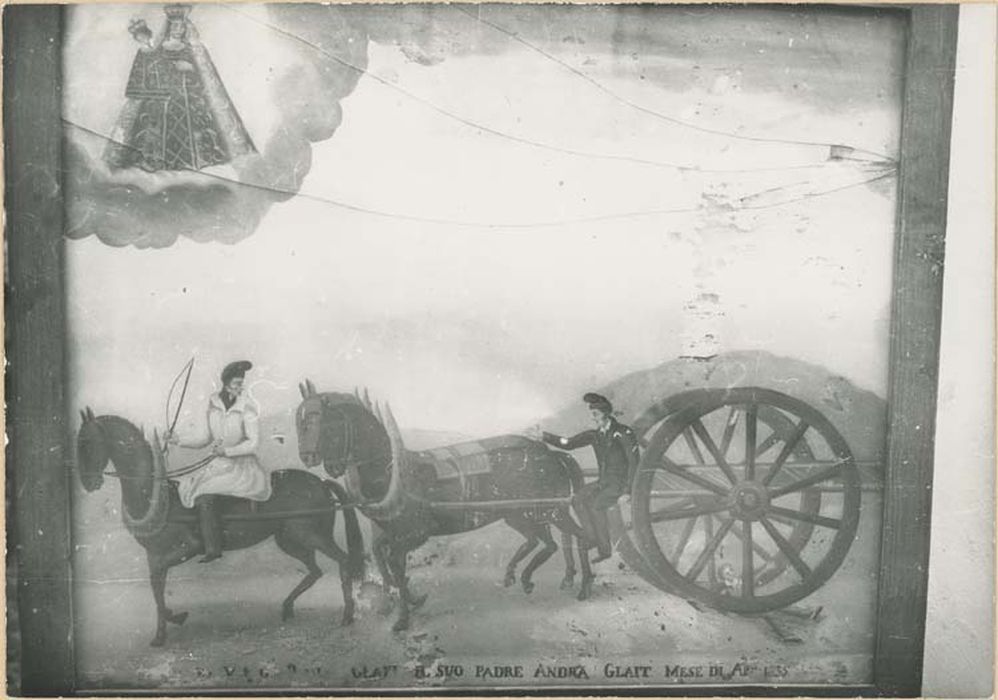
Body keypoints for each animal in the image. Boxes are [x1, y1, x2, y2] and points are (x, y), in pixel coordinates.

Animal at [76, 408, 368, 648]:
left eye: (88, 444)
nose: (88, 483)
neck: (156, 497)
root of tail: (321, 483)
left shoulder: (185, 549)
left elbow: (158, 586)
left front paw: (173, 619)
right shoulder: (154, 555)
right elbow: (156, 589)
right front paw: (161, 633)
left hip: (309, 534)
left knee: (342, 561)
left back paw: (347, 615)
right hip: (289, 539)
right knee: (314, 571)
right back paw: (287, 608)